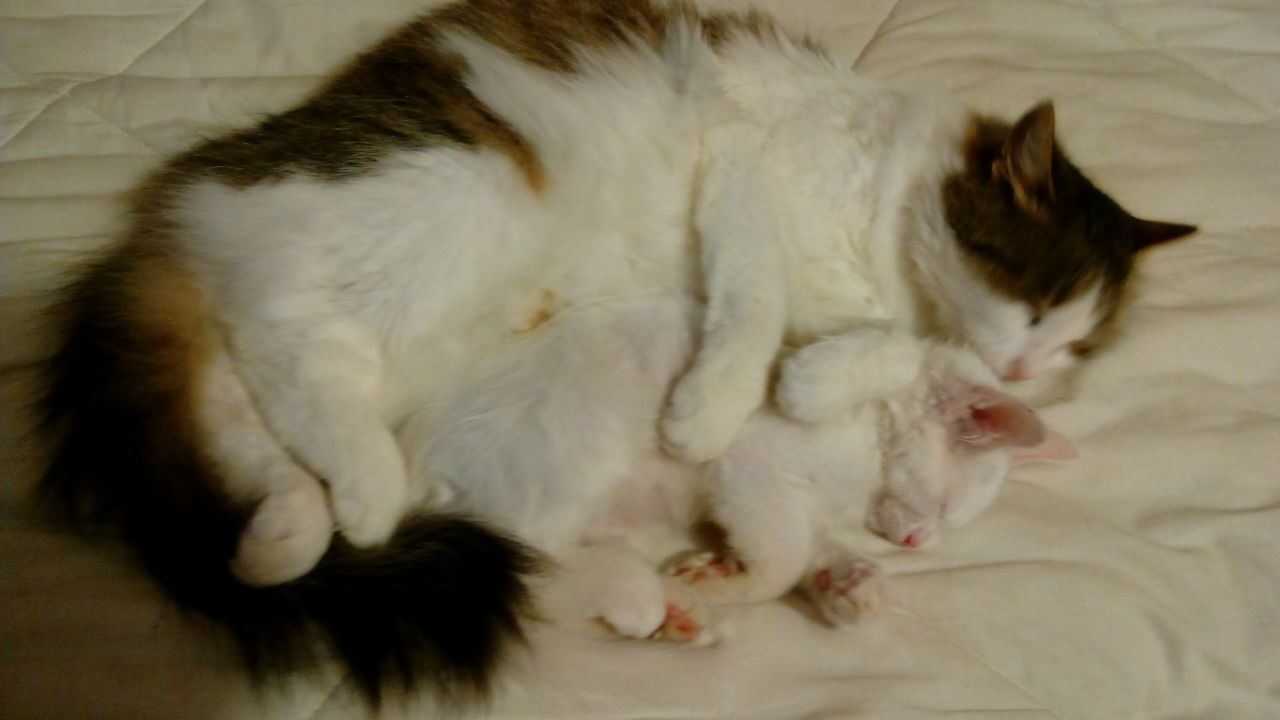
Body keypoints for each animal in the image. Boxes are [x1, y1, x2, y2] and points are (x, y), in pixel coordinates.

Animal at [401, 294, 1070, 640]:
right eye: (945, 509)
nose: (915, 542)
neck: (871, 440)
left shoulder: (787, 501)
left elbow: (808, 544)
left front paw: (845, 579)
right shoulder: (751, 471)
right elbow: (781, 559)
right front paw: (731, 579)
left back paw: (675, 606)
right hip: (568, 443)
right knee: (525, 570)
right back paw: (646, 598)